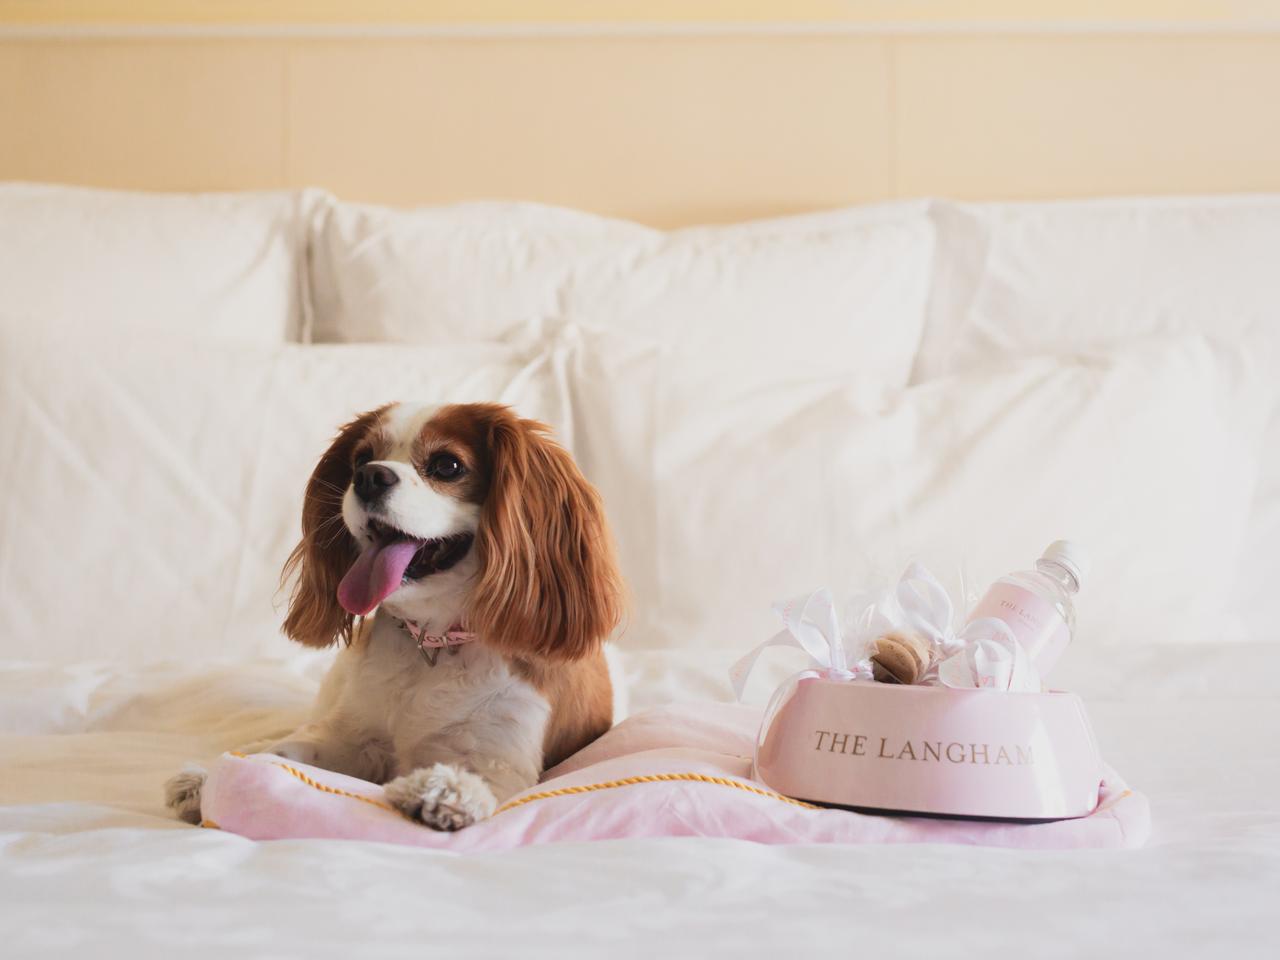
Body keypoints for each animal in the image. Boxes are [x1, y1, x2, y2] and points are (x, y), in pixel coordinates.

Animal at [165, 401, 624, 829]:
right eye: (360, 459)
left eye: (447, 465)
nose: (370, 476)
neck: (433, 643)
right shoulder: (351, 737)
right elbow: (289, 749)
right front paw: (217, 773)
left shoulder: (501, 756)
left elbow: (478, 779)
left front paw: (443, 792)